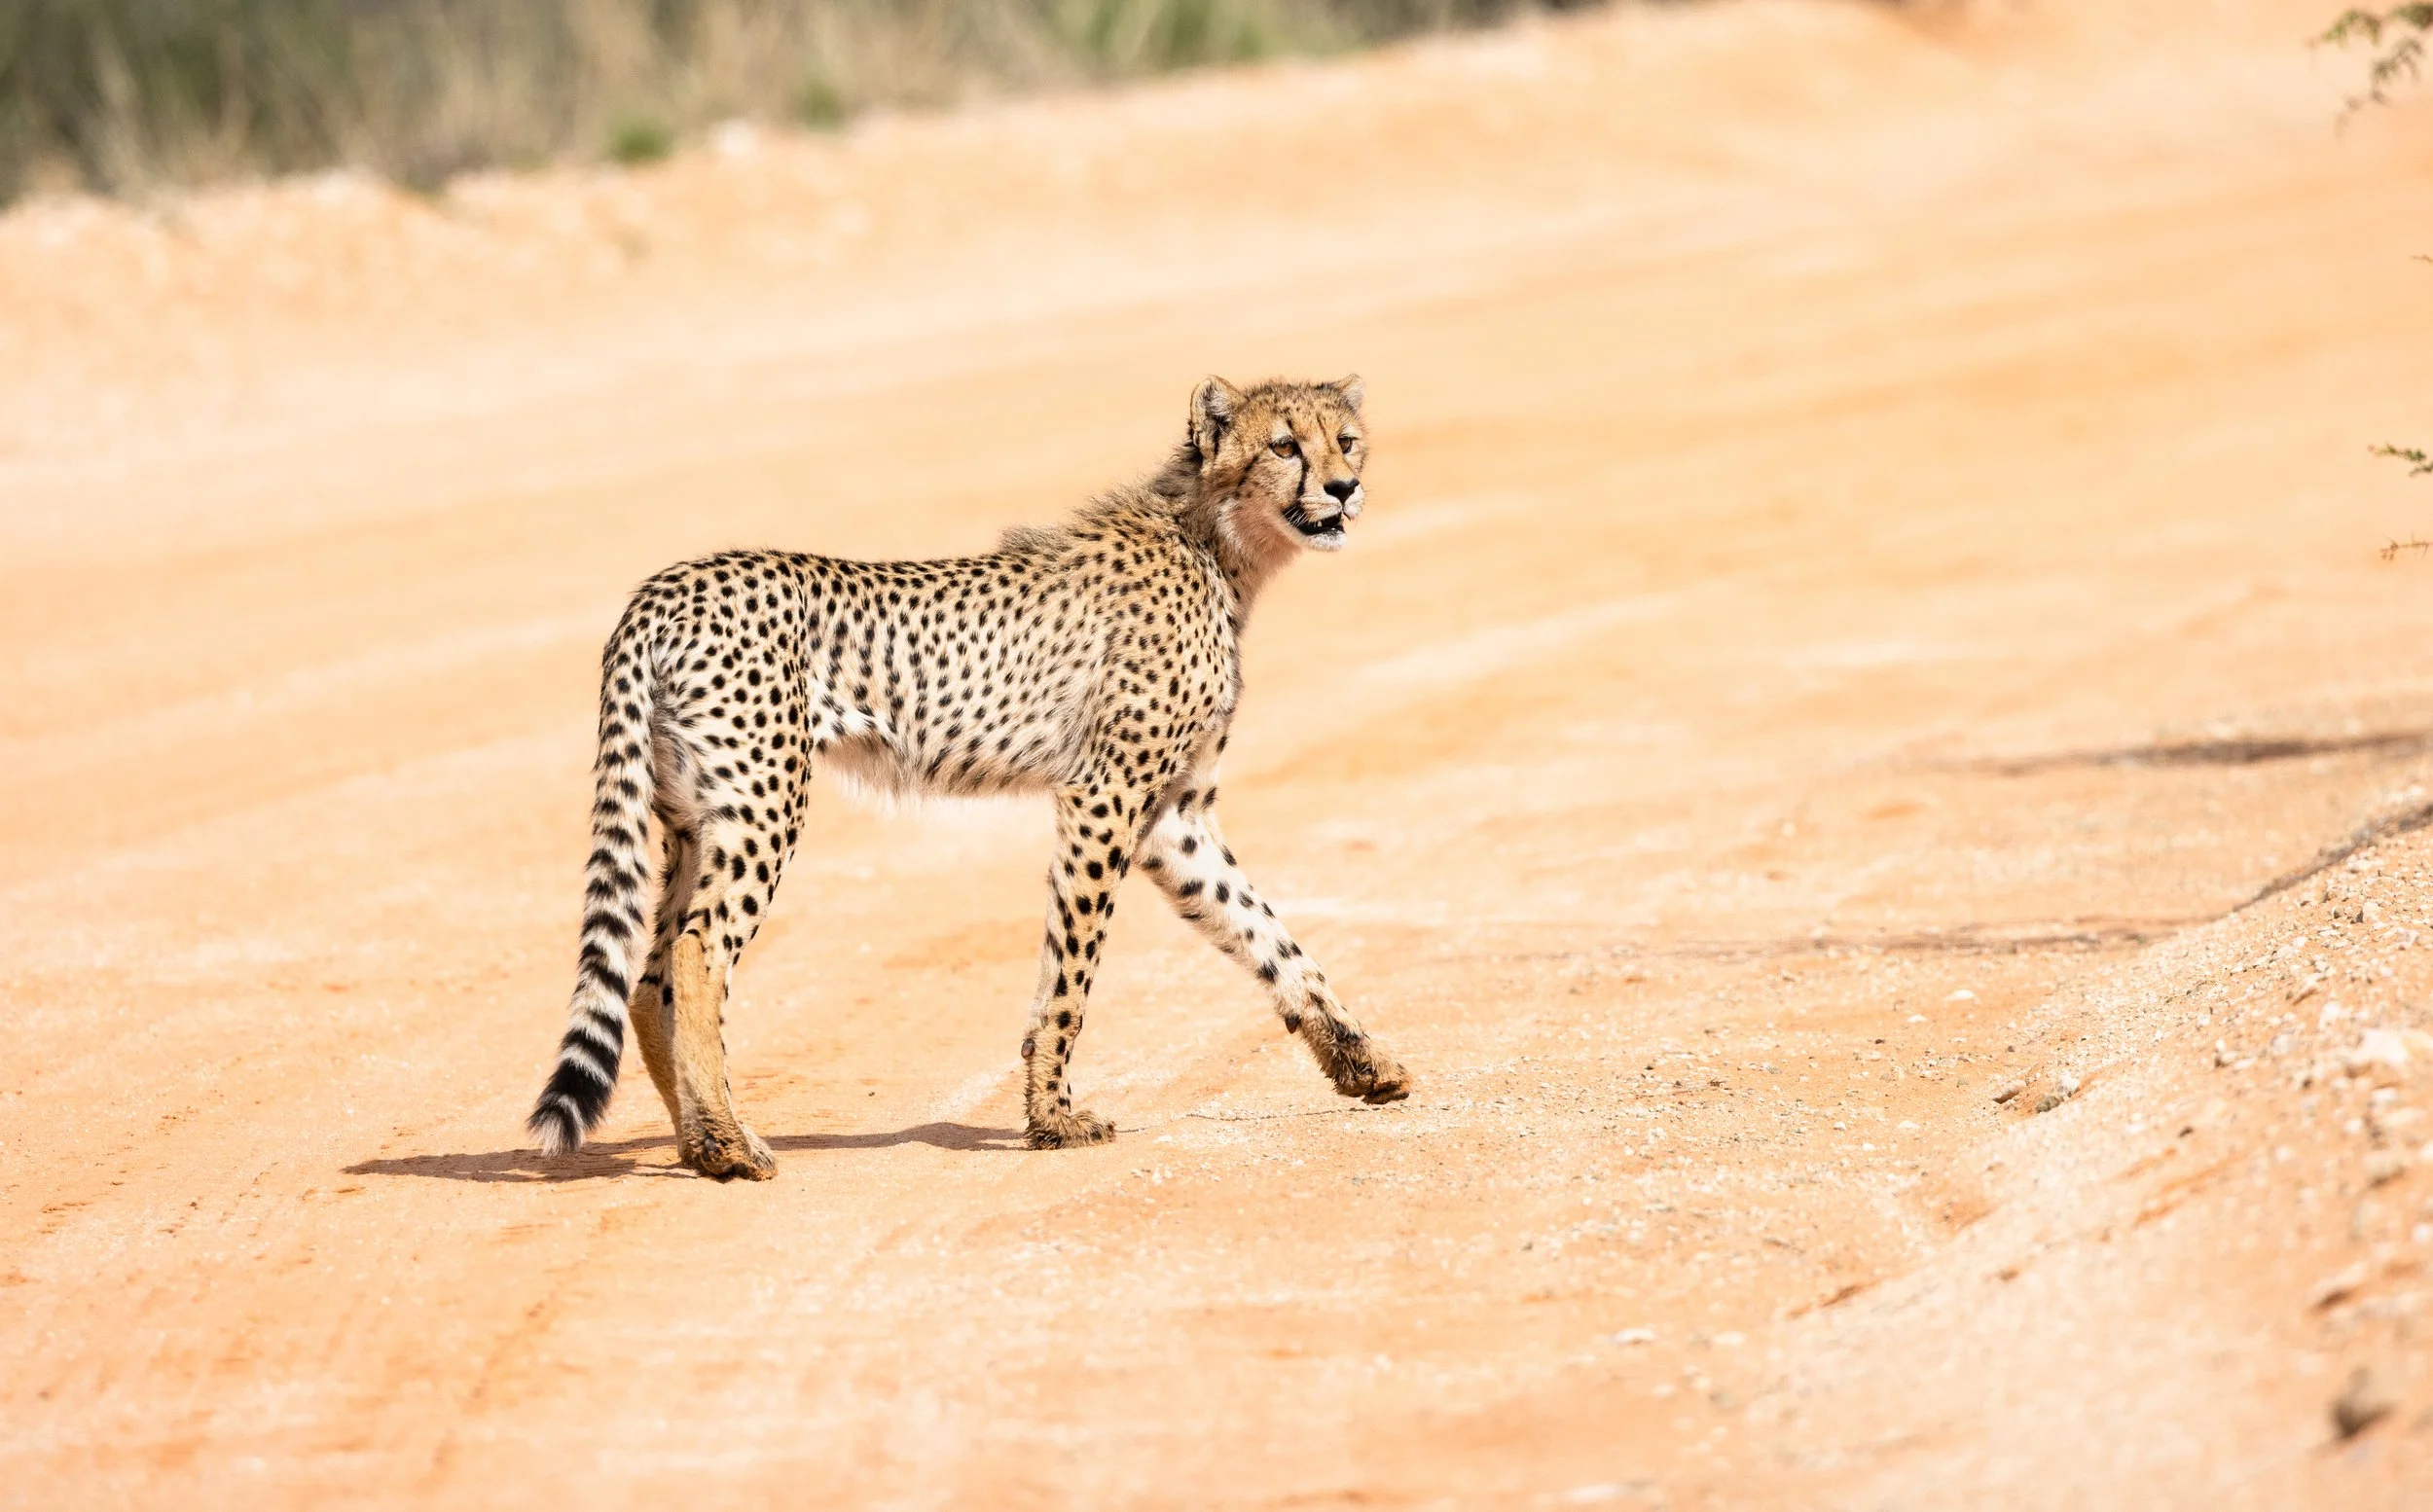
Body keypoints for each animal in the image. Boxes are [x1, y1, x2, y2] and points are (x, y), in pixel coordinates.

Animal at [527, 375, 1412, 1179]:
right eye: (1284, 446)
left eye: (1346, 440)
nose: (1344, 488)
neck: (1217, 543)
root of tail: (665, 586)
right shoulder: (1107, 796)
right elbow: (1072, 972)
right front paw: (1053, 1116)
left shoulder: (1174, 818)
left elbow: (1271, 937)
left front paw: (1362, 1061)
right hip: (762, 803)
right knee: (696, 952)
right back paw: (728, 1143)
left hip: (691, 817)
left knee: (649, 971)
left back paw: (697, 1140)